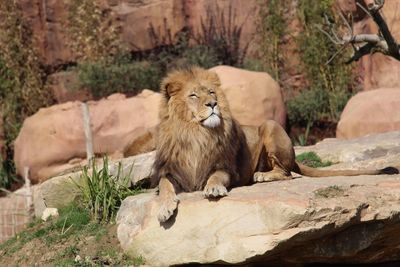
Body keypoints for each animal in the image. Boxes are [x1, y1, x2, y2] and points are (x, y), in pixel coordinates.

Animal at [124, 67, 396, 224]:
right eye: (193, 95)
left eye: (211, 92)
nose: (213, 104)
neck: (195, 134)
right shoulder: (171, 171)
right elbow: (165, 186)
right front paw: (164, 209)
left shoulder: (227, 168)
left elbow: (215, 176)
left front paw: (213, 189)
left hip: (270, 126)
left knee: (286, 172)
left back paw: (261, 176)